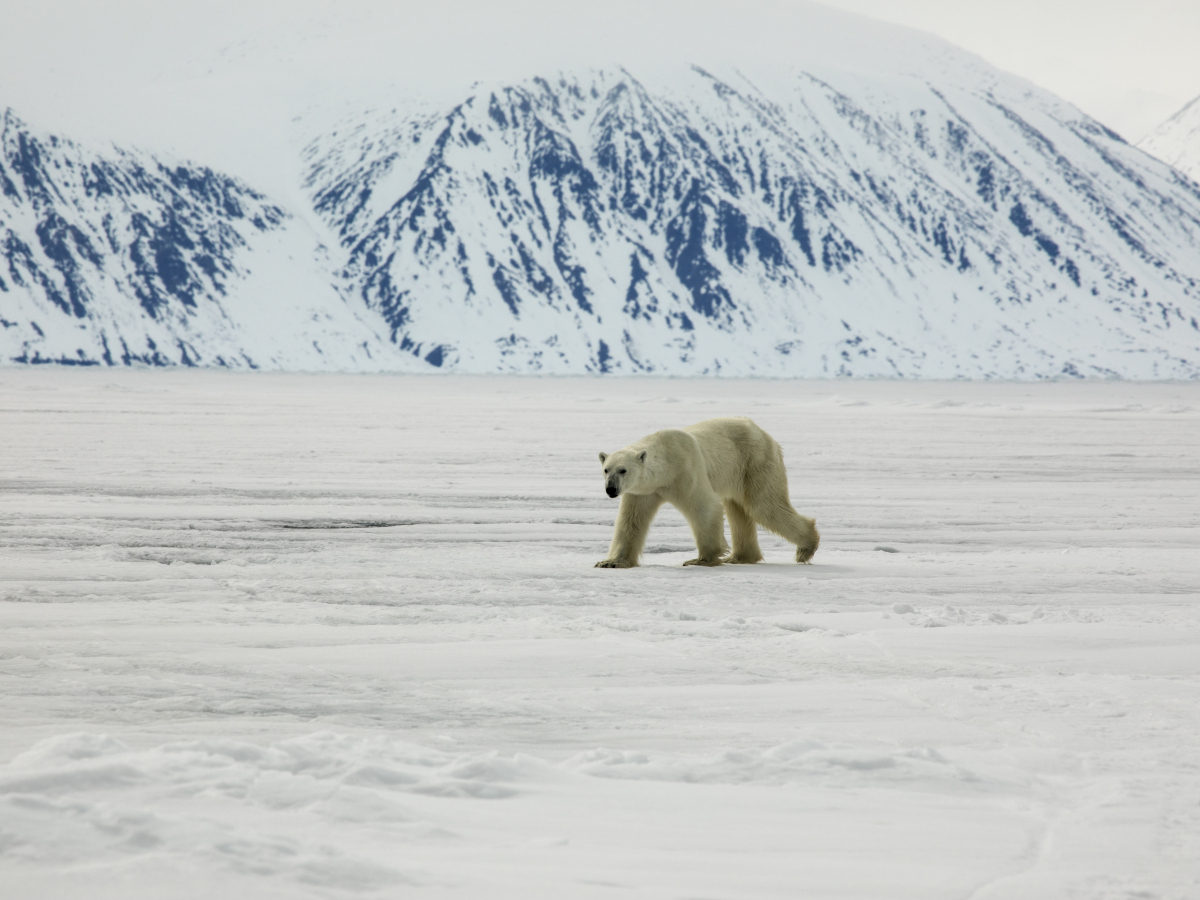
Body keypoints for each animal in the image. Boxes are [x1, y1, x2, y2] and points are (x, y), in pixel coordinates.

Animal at [595, 417, 820, 571]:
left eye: (623, 470)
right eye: (606, 469)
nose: (611, 489)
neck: (665, 464)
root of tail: (765, 434)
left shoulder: (686, 470)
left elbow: (704, 506)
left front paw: (701, 559)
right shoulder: (643, 491)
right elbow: (631, 521)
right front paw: (610, 562)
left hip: (755, 461)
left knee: (764, 506)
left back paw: (805, 549)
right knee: (738, 509)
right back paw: (739, 557)